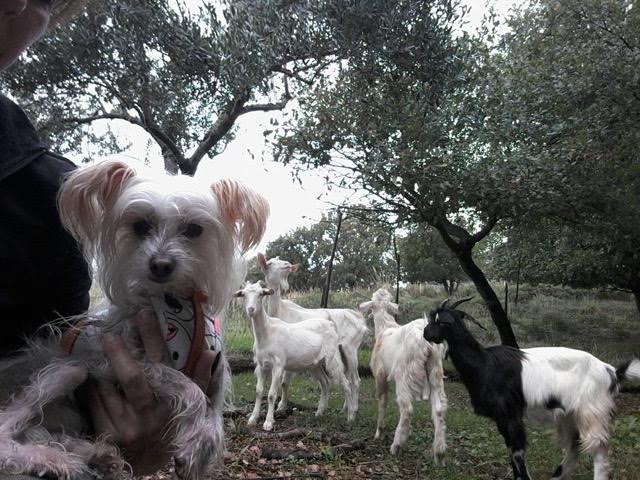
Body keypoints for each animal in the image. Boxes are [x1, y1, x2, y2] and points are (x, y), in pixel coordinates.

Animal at [234, 281, 352, 431]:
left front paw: (268, 422)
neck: (267, 333)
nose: (251, 309)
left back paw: (350, 416)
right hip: (315, 364)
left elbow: (271, 395)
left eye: (261, 294)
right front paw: (253, 419)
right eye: (243, 294)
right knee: (325, 382)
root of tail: (331, 324)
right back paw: (319, 413)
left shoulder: (278, 365)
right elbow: (259, 392)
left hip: (333, 358)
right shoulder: (261, 365)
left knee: (346, 383)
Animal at [257, 253, 366, 421]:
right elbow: (284, 383)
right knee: (346, 376)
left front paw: (281, 407)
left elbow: (284, 382)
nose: (287, 264)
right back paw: (345, 408)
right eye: (270, 263)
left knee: (355, 380)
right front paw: (282, 406)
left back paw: (353, 410)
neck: (279, 311)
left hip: (350, 348)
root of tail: (358, 317)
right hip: (340, 352)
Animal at [358, 288, 447, 462]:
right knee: (439, 409)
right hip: (436, 372)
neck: (385, 327)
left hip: (405, 375)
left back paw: (396, 445)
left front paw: (379, 432)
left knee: (407, 409)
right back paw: (439, 453)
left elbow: (382, 400)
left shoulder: (380, 374)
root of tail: (426, 342)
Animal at [423, 297, 640, 480]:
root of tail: (611, 371)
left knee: (599, 451)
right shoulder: (502, 419)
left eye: (441, 321)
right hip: (570, 416)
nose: (425, 333)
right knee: (573, 450)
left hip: (592, 411)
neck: (485, 364)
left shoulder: (511, 415)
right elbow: (511, 451)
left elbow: (517, 452)